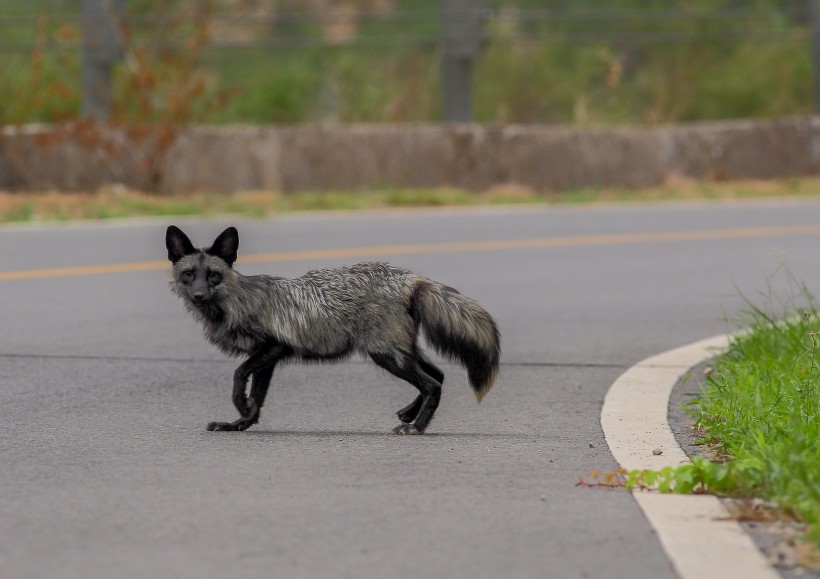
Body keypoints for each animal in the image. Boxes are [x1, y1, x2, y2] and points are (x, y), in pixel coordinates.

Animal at [165, 227, 500, 436]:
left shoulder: (274, 346)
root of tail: (408, 277)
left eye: (213, 275)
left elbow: (238, 376)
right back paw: (409, 415)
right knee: (439, 375)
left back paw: (416, 427)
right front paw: (239, 423)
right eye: (189, 274)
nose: (198, 296)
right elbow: (257, 398)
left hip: (386, 354)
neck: (238, 300)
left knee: (433, 384)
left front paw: (240, 405)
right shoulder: (268, 358)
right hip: (401, 350)